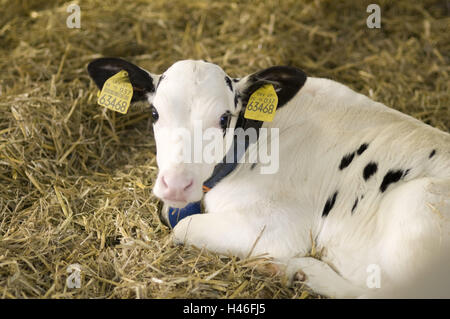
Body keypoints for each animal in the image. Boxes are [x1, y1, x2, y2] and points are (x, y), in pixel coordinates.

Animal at [88, 58, 450, 300]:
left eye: (224, 118)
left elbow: (183, 227)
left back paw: (298, 271)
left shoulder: (279, 226)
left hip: (417, 203)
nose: (176, 184)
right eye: (155, 113)